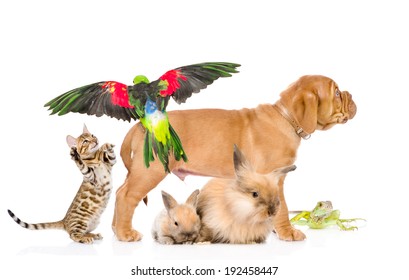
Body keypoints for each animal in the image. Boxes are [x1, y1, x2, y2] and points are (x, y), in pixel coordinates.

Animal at [113, 74, 356, 241]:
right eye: (336, 93)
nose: (351, 95)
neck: (286, 118)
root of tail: (140, 126)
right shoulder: (273, 177)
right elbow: (283, 208)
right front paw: (288, 233)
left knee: (119, 191)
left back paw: (116, 229)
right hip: (150, 170)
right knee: (126, 195)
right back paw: (125, 233)